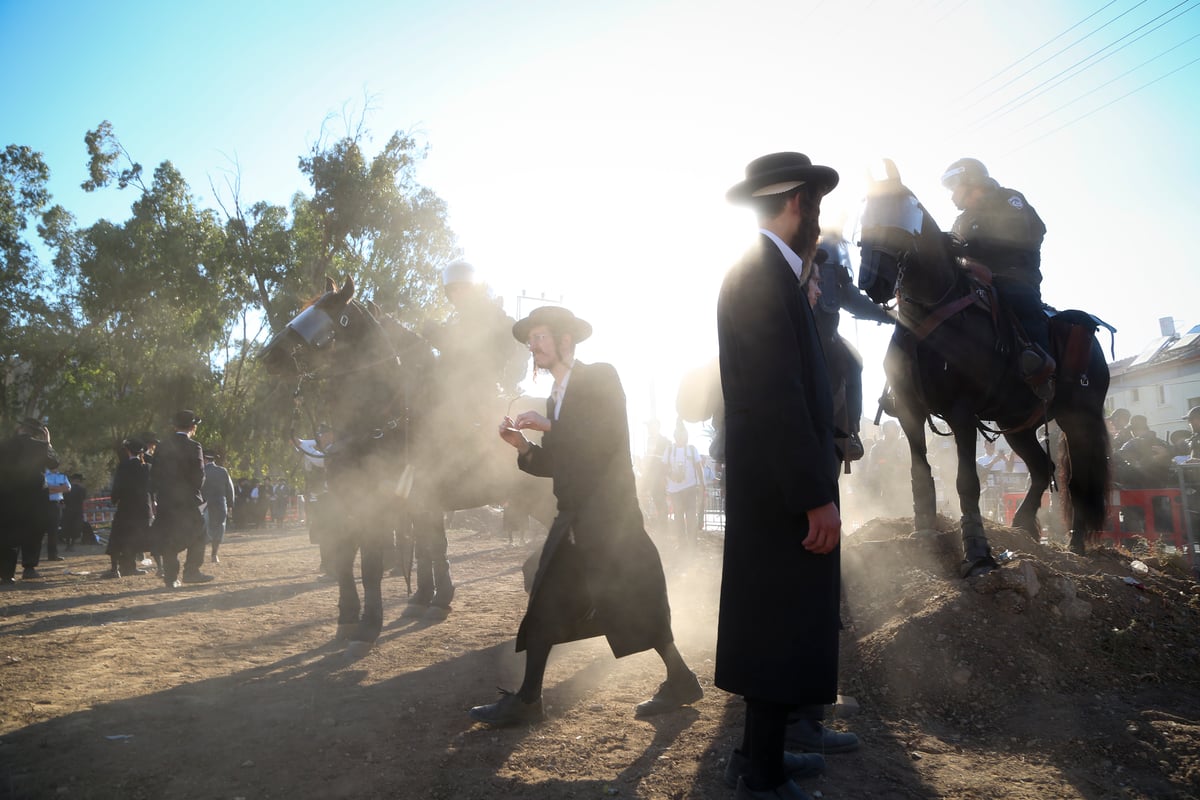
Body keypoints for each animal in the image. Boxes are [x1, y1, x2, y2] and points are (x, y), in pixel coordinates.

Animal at [260, 275, 554, 652]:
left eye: (335, 316)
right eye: (305, 310)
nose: (269, 355)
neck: (386, 420)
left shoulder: (386, 506)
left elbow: (376, 562)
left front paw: (370, 624)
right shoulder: (358, 503)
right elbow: (355, 558)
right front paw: (354, 615)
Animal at [859, 160, 1108, 575]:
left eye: (902, 210)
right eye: (864, 213)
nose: (870, 280)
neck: (931, 314)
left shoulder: (961, 413)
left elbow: (966, 482)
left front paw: (977, 553)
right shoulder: (910, 410)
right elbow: (920, 473)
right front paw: (923, 532)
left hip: (1079, 420)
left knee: (1078, 483)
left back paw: (1075, 543)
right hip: (1017, 425)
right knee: (1042, 469)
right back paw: (1024, 524)